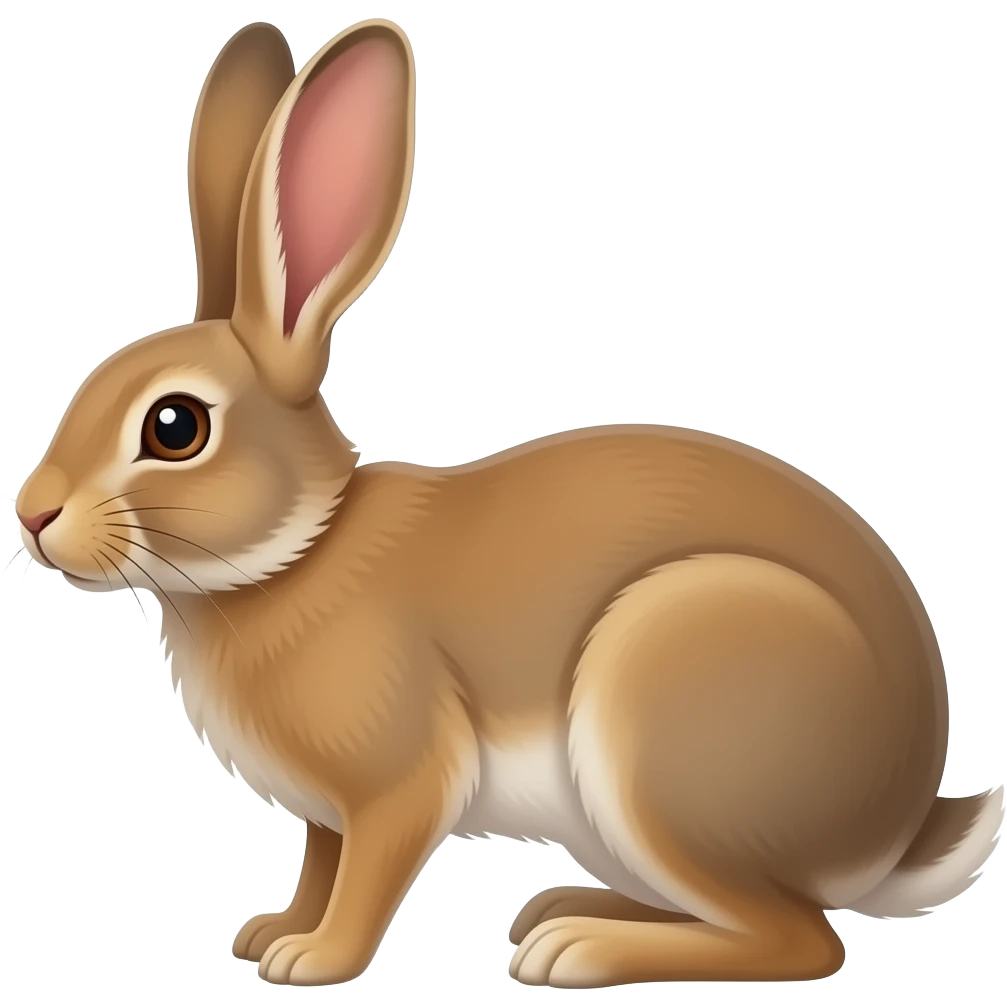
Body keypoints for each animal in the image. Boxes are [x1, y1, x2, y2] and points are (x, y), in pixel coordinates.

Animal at [11, 17, 1003, 990]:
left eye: (175, 426)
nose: (33, 514)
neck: (299, 549)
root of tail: (893, 826)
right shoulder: (329, 813)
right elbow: (321, 862)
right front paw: (272, 931)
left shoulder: (398, 782)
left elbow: (366, 874)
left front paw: (313, 960)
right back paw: (560, 911)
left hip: (666, 721)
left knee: (800, 940)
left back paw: (578, 951)